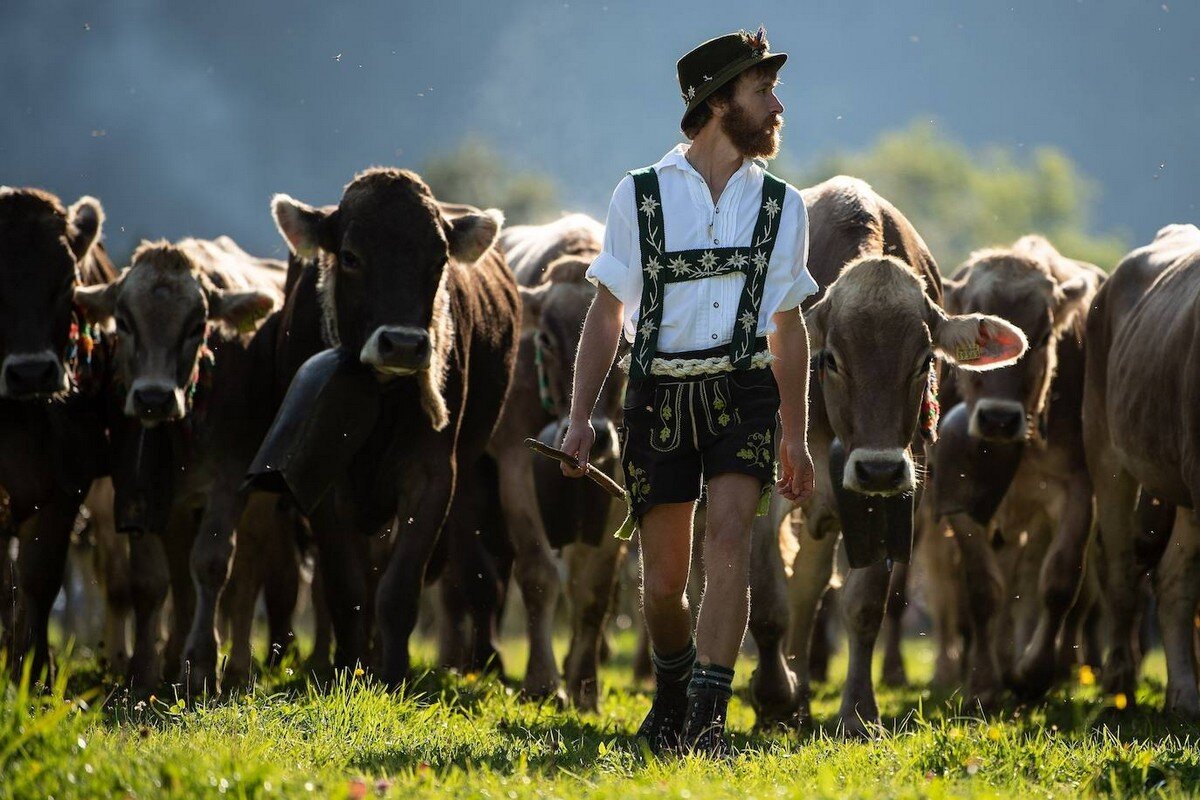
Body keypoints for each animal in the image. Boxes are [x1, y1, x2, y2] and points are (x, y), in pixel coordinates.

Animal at [73, 236, 285, 690]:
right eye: (124, 321)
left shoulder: (229, 483)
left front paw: (203, 666)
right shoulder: (135, 490)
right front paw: (142, 670)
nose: (153, 397)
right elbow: (151, 580)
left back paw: (236, 667)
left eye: (197, 325)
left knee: (246, 574)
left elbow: (211, 564)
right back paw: (172, 661)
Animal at [243, 167, 520, 690]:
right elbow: (348, 587)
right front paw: (348, 667)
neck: (383, 400)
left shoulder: (432, 472)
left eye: (438, 259)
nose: (404, 345)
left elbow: (398, 587)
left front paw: (392, 676)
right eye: (351, 256)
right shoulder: (322, 475)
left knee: (475, 576)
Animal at [744, 178, 1027, 734]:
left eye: (923, 361)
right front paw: (771, 697)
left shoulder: (897, 486)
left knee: (811, 587)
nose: (875, 467)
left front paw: (857, 711)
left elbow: (864, 603)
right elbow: (767, 601)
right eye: (831, 359)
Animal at [926, 236, 1104, 705]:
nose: (998, 419)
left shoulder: (1078, 488)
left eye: (1041, 337)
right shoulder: (960, 498)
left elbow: (1059, 580)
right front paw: (985, 684)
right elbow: (983, 591)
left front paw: (1034, 675)